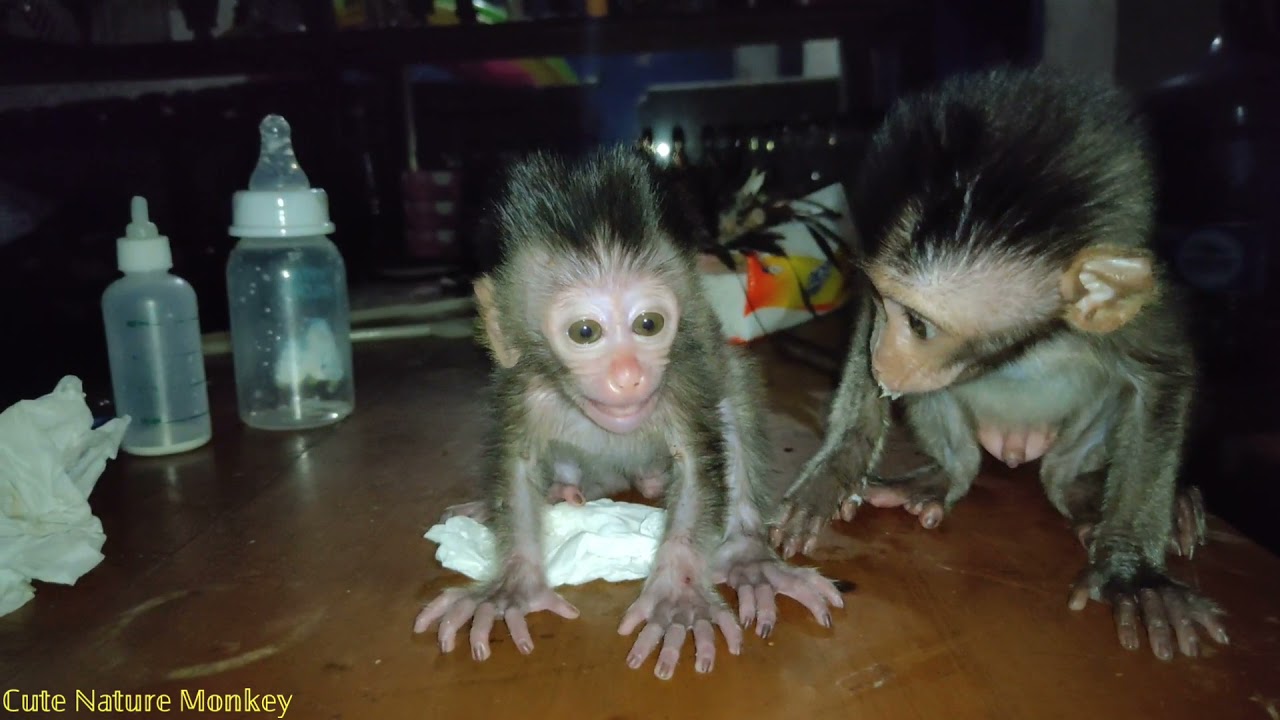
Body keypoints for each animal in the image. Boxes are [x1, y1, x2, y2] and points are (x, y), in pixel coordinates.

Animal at [413, 148, 843, 680]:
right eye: (585, 332)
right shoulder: (524, 390)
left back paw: (747, 555)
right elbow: (517, 466)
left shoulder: (680, 381)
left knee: (731, 395)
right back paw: (557, 492)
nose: (629, 376)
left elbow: (698, 461)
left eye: (648, 324)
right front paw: (511, 585)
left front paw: (678, 595)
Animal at [768, 66, 1229, 661]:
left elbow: (1163, 374)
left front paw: (1134, 574)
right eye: (882, 302)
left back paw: (1084, 489)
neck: (1032, 340)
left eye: (919, 325)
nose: (883, 357)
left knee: (1076, 447)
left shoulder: (1142, 308)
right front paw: (831, 474)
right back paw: (948, 474)